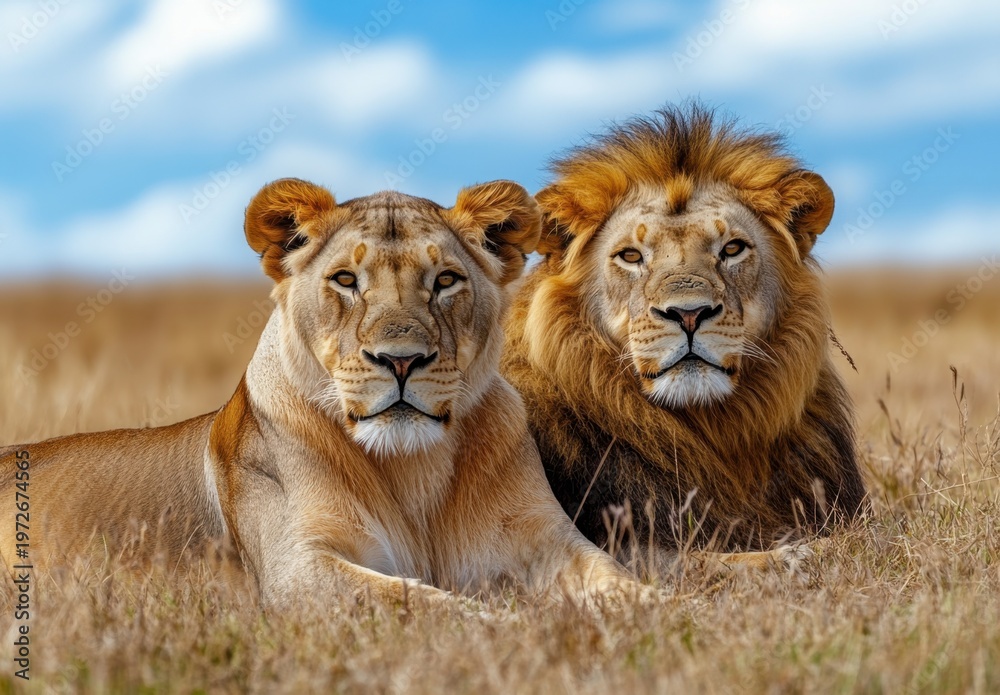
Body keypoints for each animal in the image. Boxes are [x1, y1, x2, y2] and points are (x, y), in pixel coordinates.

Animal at [0, 178, 646, 607]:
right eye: (345, 280)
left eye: (445, 281)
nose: (401, 360)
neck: (413, 470)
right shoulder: (297, 574)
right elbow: (429, 606)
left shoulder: (549, 542)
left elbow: (626, 587)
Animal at [501, 104, 867, 574]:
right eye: (631, 256)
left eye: (732, 249)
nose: (689, 314)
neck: (706, 429)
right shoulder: (614, 542)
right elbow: (719, 560)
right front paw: (805, 553)